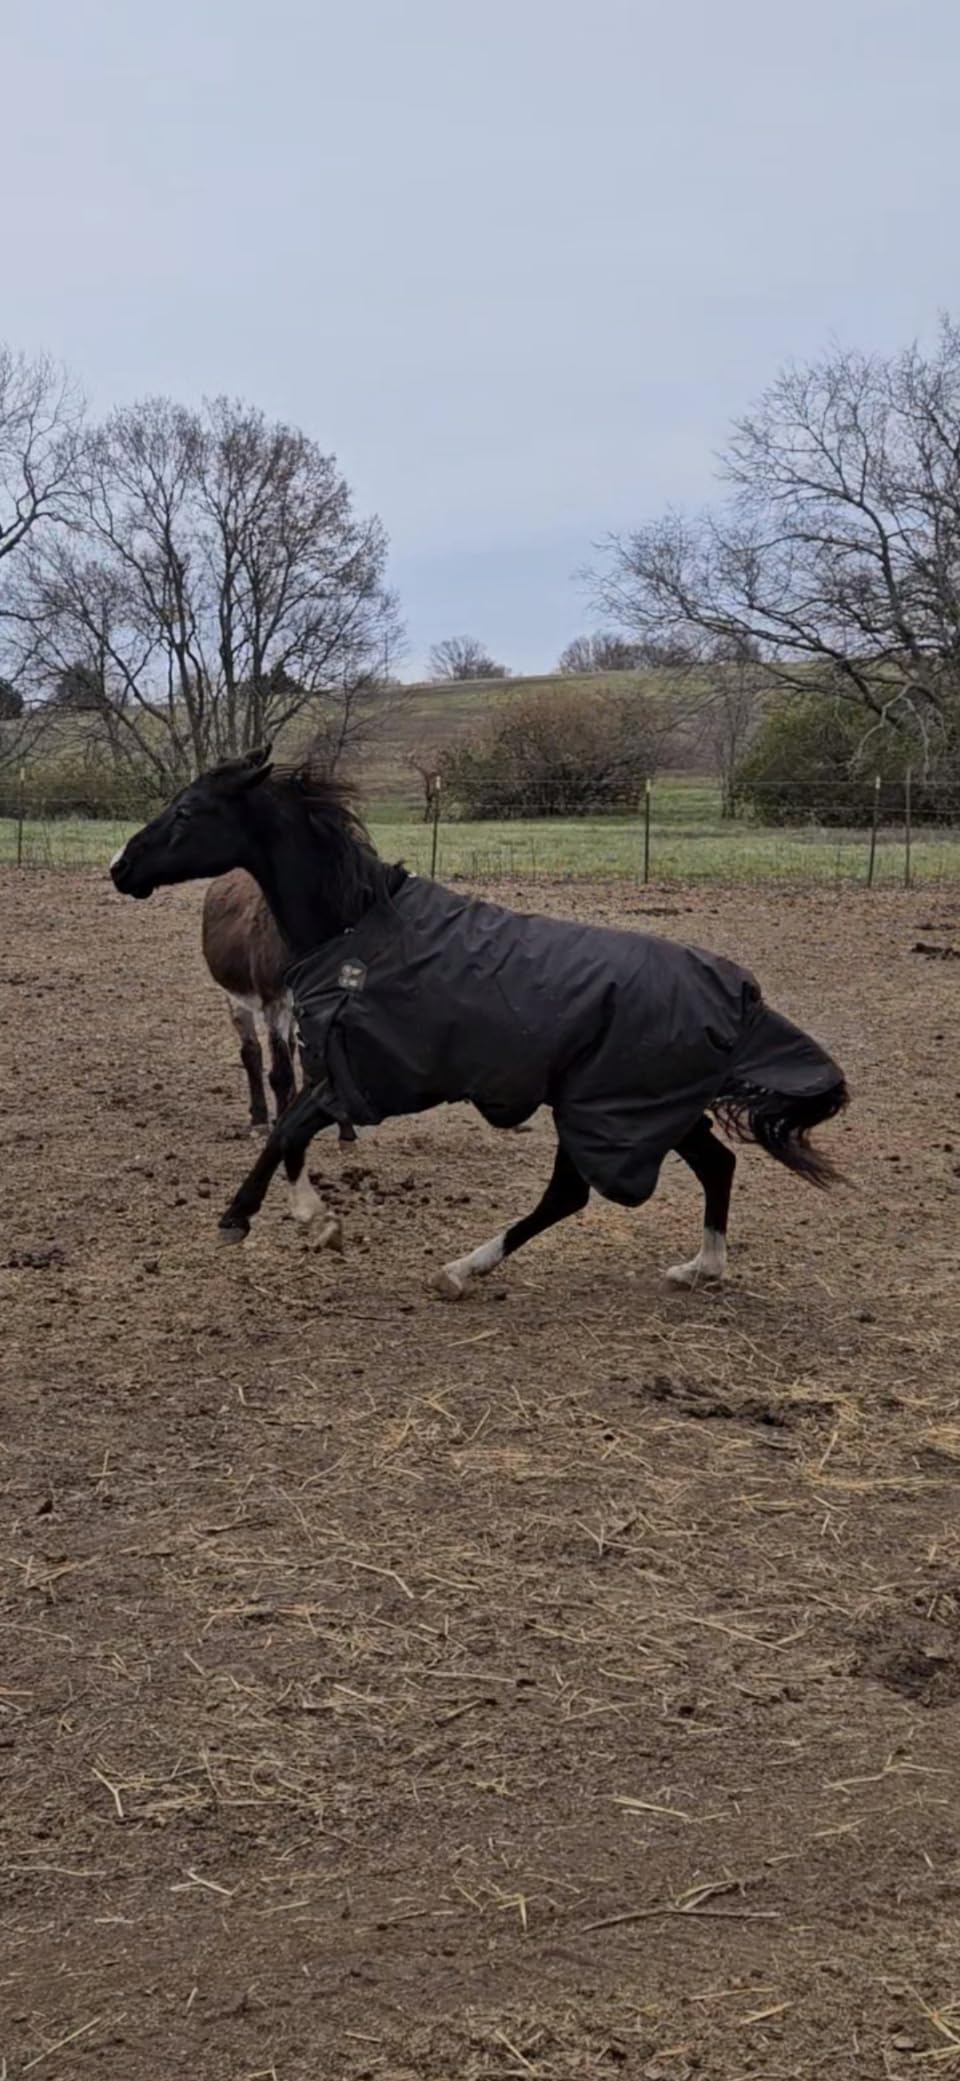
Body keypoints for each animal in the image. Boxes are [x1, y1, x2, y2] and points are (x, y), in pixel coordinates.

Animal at [202, 868, 356, 1143]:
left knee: (291, 1047)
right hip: (236, 997)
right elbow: (280, 1073)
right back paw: (260, 1119)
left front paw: (344, 1130)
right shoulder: (275, 1003)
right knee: (251, 1052)